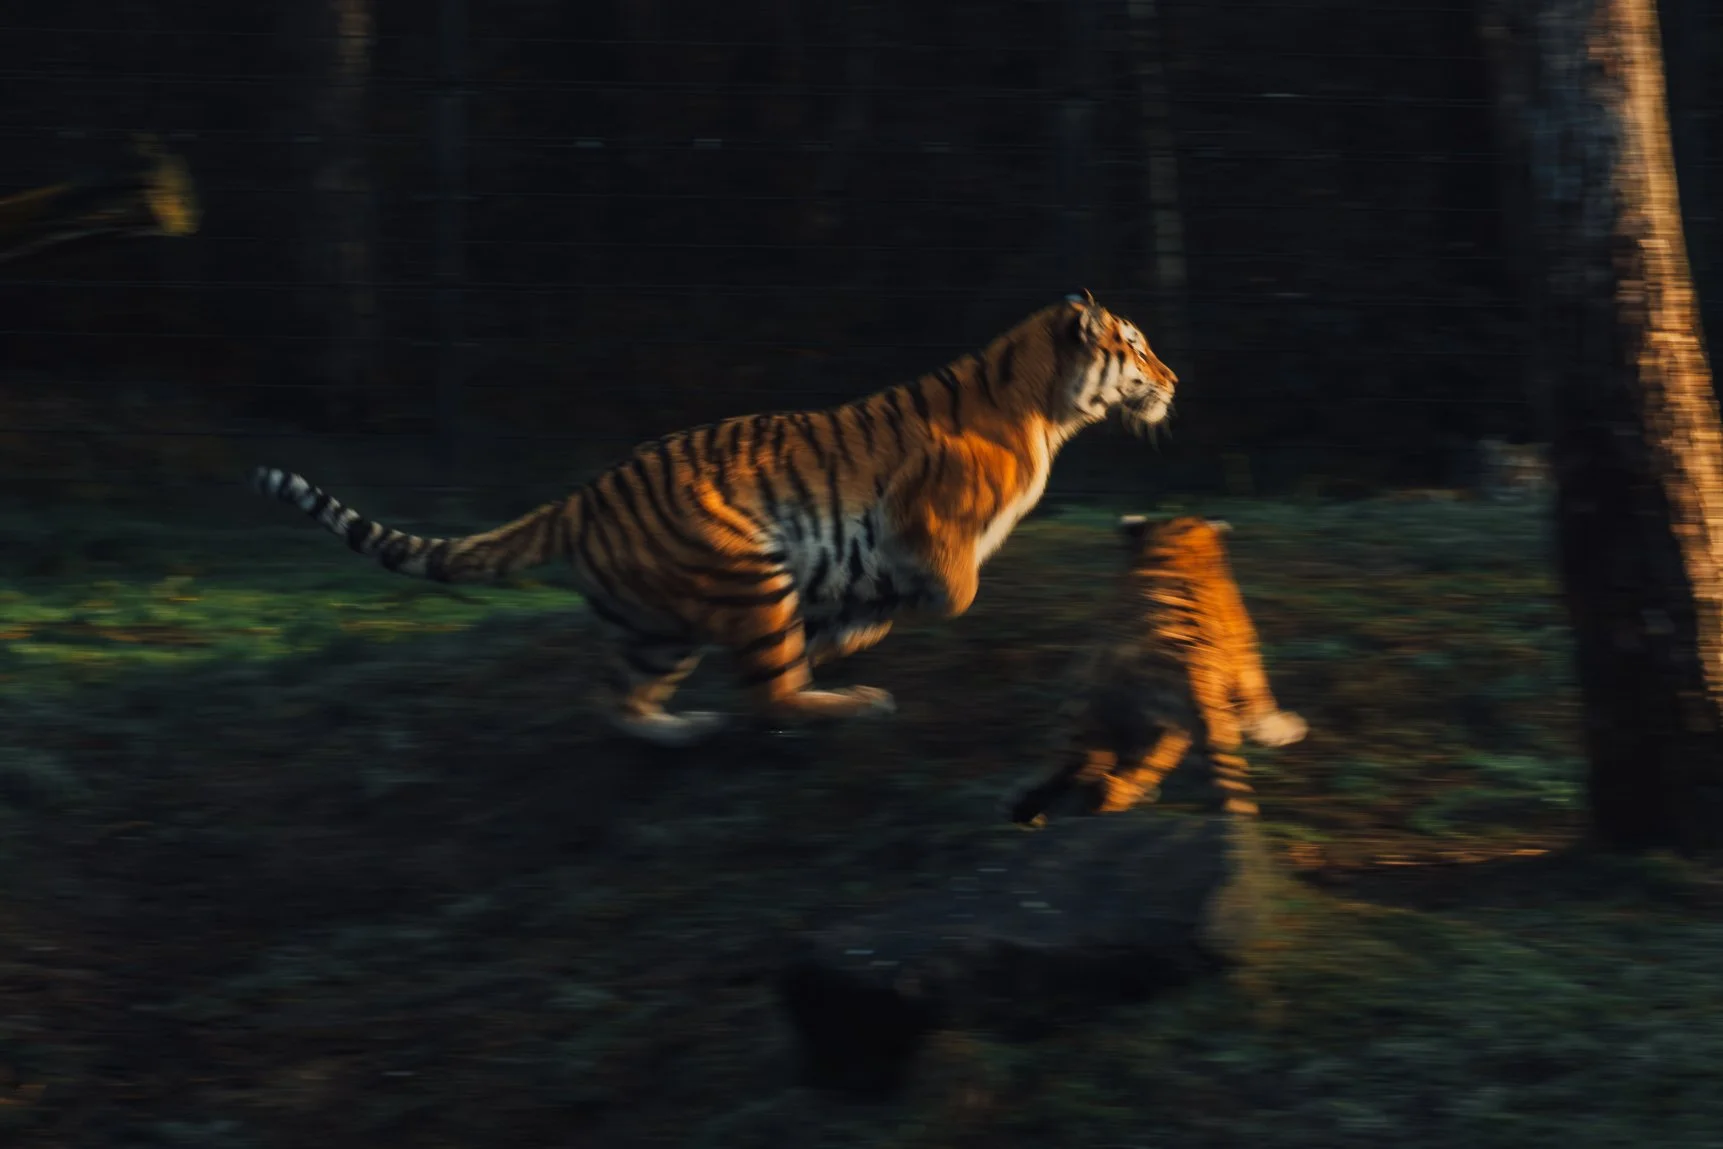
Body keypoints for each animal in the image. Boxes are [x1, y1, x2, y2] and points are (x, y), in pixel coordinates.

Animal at [251, 294, 1179, 747]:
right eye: (1134, 346)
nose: (1171, 378)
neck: (1049, 409)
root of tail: (582, 494)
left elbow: (879, 597)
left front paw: (841, 626)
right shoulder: (924, 519)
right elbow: (950, 590)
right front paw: (854, 628)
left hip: (661, 625)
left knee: (619, 699)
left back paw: (689, 724)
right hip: (744, 571)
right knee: (768, 695)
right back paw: (849, 700)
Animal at [1008, 514, 1306, 824]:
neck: (1174, 547)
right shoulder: (1246, 657)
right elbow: (1260, 703)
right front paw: (1287, 728)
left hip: (1107, 726)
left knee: (1084, 775)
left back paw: (1031, 809)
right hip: (1161, 732)